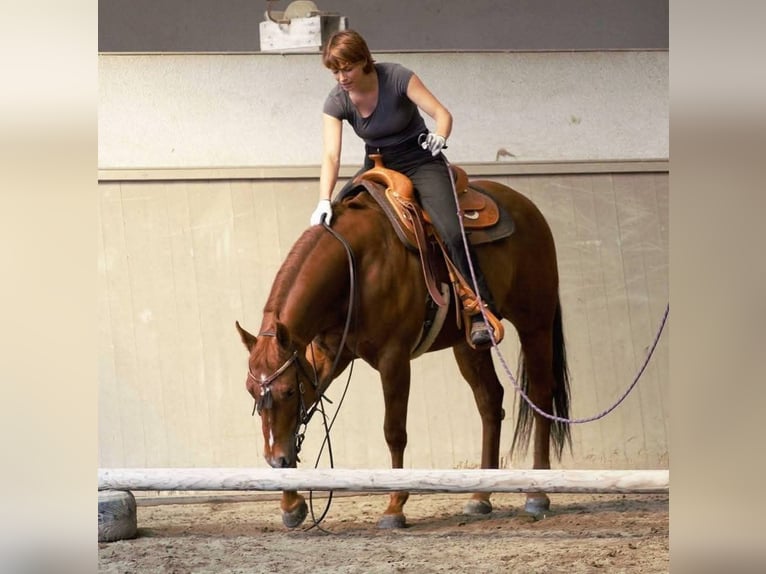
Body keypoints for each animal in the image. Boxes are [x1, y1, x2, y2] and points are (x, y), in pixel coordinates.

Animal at [236, 164, 572, 529]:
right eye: (252, 393)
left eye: (286, 392)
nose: (275, 460)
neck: (354, 266)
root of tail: (527, 207)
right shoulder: (325, 356)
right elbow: (297, 423)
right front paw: (291, 504)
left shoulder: (393, 358)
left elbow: (394, 431)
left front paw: (395, 507)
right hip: (468, 344)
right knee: (489, 401)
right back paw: (480, 497)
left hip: (535, 323)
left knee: (540, 395)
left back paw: (537, 494)